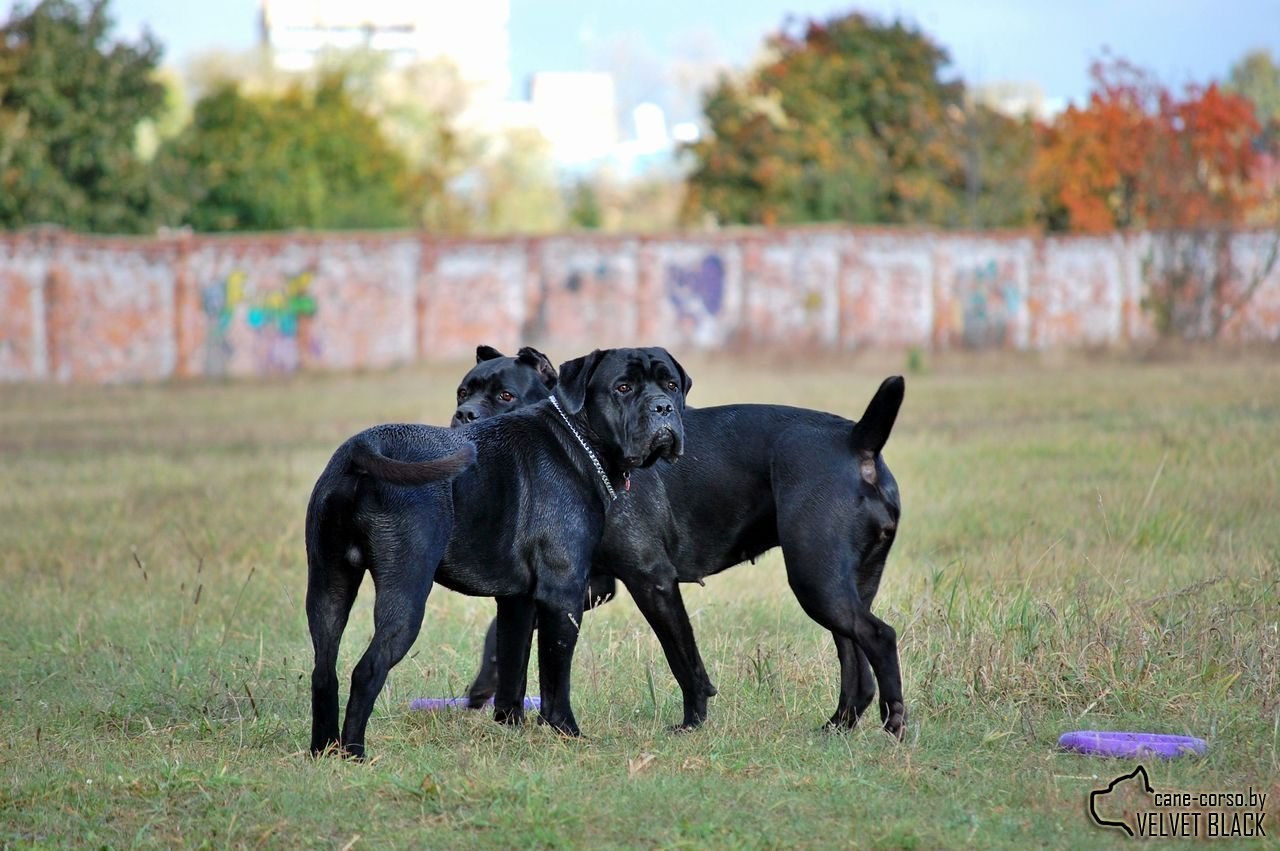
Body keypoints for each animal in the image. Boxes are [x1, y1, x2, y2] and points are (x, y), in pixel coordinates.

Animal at [305, 345, 691, 757]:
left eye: (671, 384)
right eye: (623, 387)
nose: (663, 407)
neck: (577, 438)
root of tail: (362, 449)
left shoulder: (517, 602)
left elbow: (512, 668)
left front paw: (511, 727)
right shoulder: (563, 594)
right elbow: (555, 674)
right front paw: (566, 732)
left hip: (329, 588)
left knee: (323, 671)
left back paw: (323, 751)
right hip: (405, 594)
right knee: (367, 670)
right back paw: (354, 754)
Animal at [455, 350, 906, 737]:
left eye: (506, 395)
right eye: (463, 392)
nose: (464, 415)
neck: (582, 439)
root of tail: (858, 440)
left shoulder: (647, 579)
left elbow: (682, 656)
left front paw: (693, 723)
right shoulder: (586, 583)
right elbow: (507, 636)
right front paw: (487, 690)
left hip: (817, 581)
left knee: (879, 637)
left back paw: (894, 725)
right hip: (840, 586)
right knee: (855, 661)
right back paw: (837, 726)